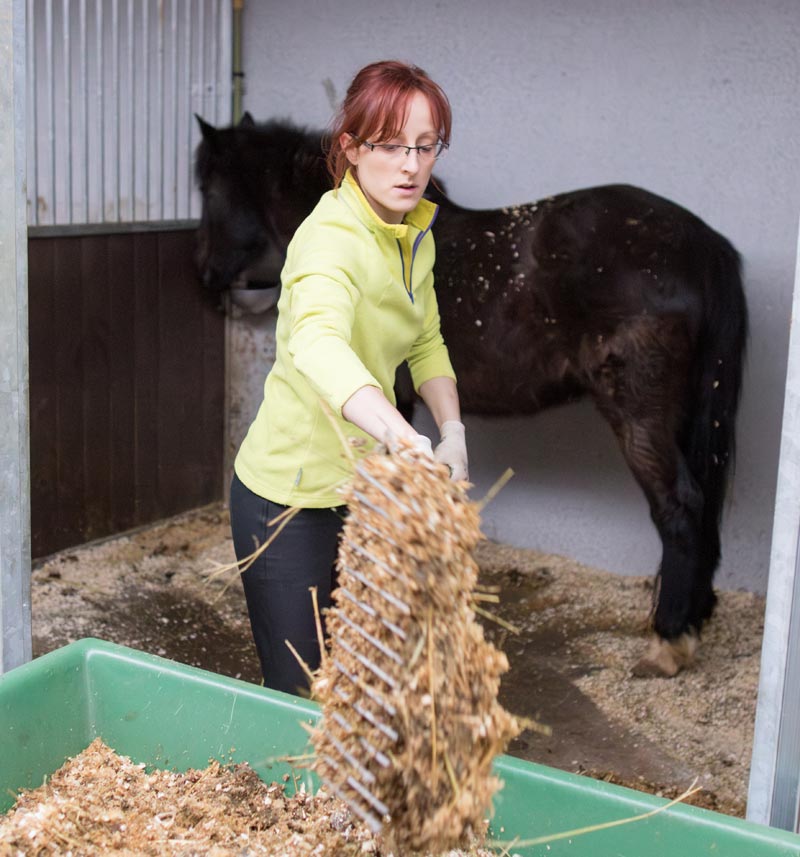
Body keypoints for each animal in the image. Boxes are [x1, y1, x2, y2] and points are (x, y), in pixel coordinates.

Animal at [197, 113, 748, 676]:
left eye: (211, 191)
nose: (204, 273)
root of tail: (703, 247)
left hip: (639, 413)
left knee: (680, 505)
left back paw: (670, 639)